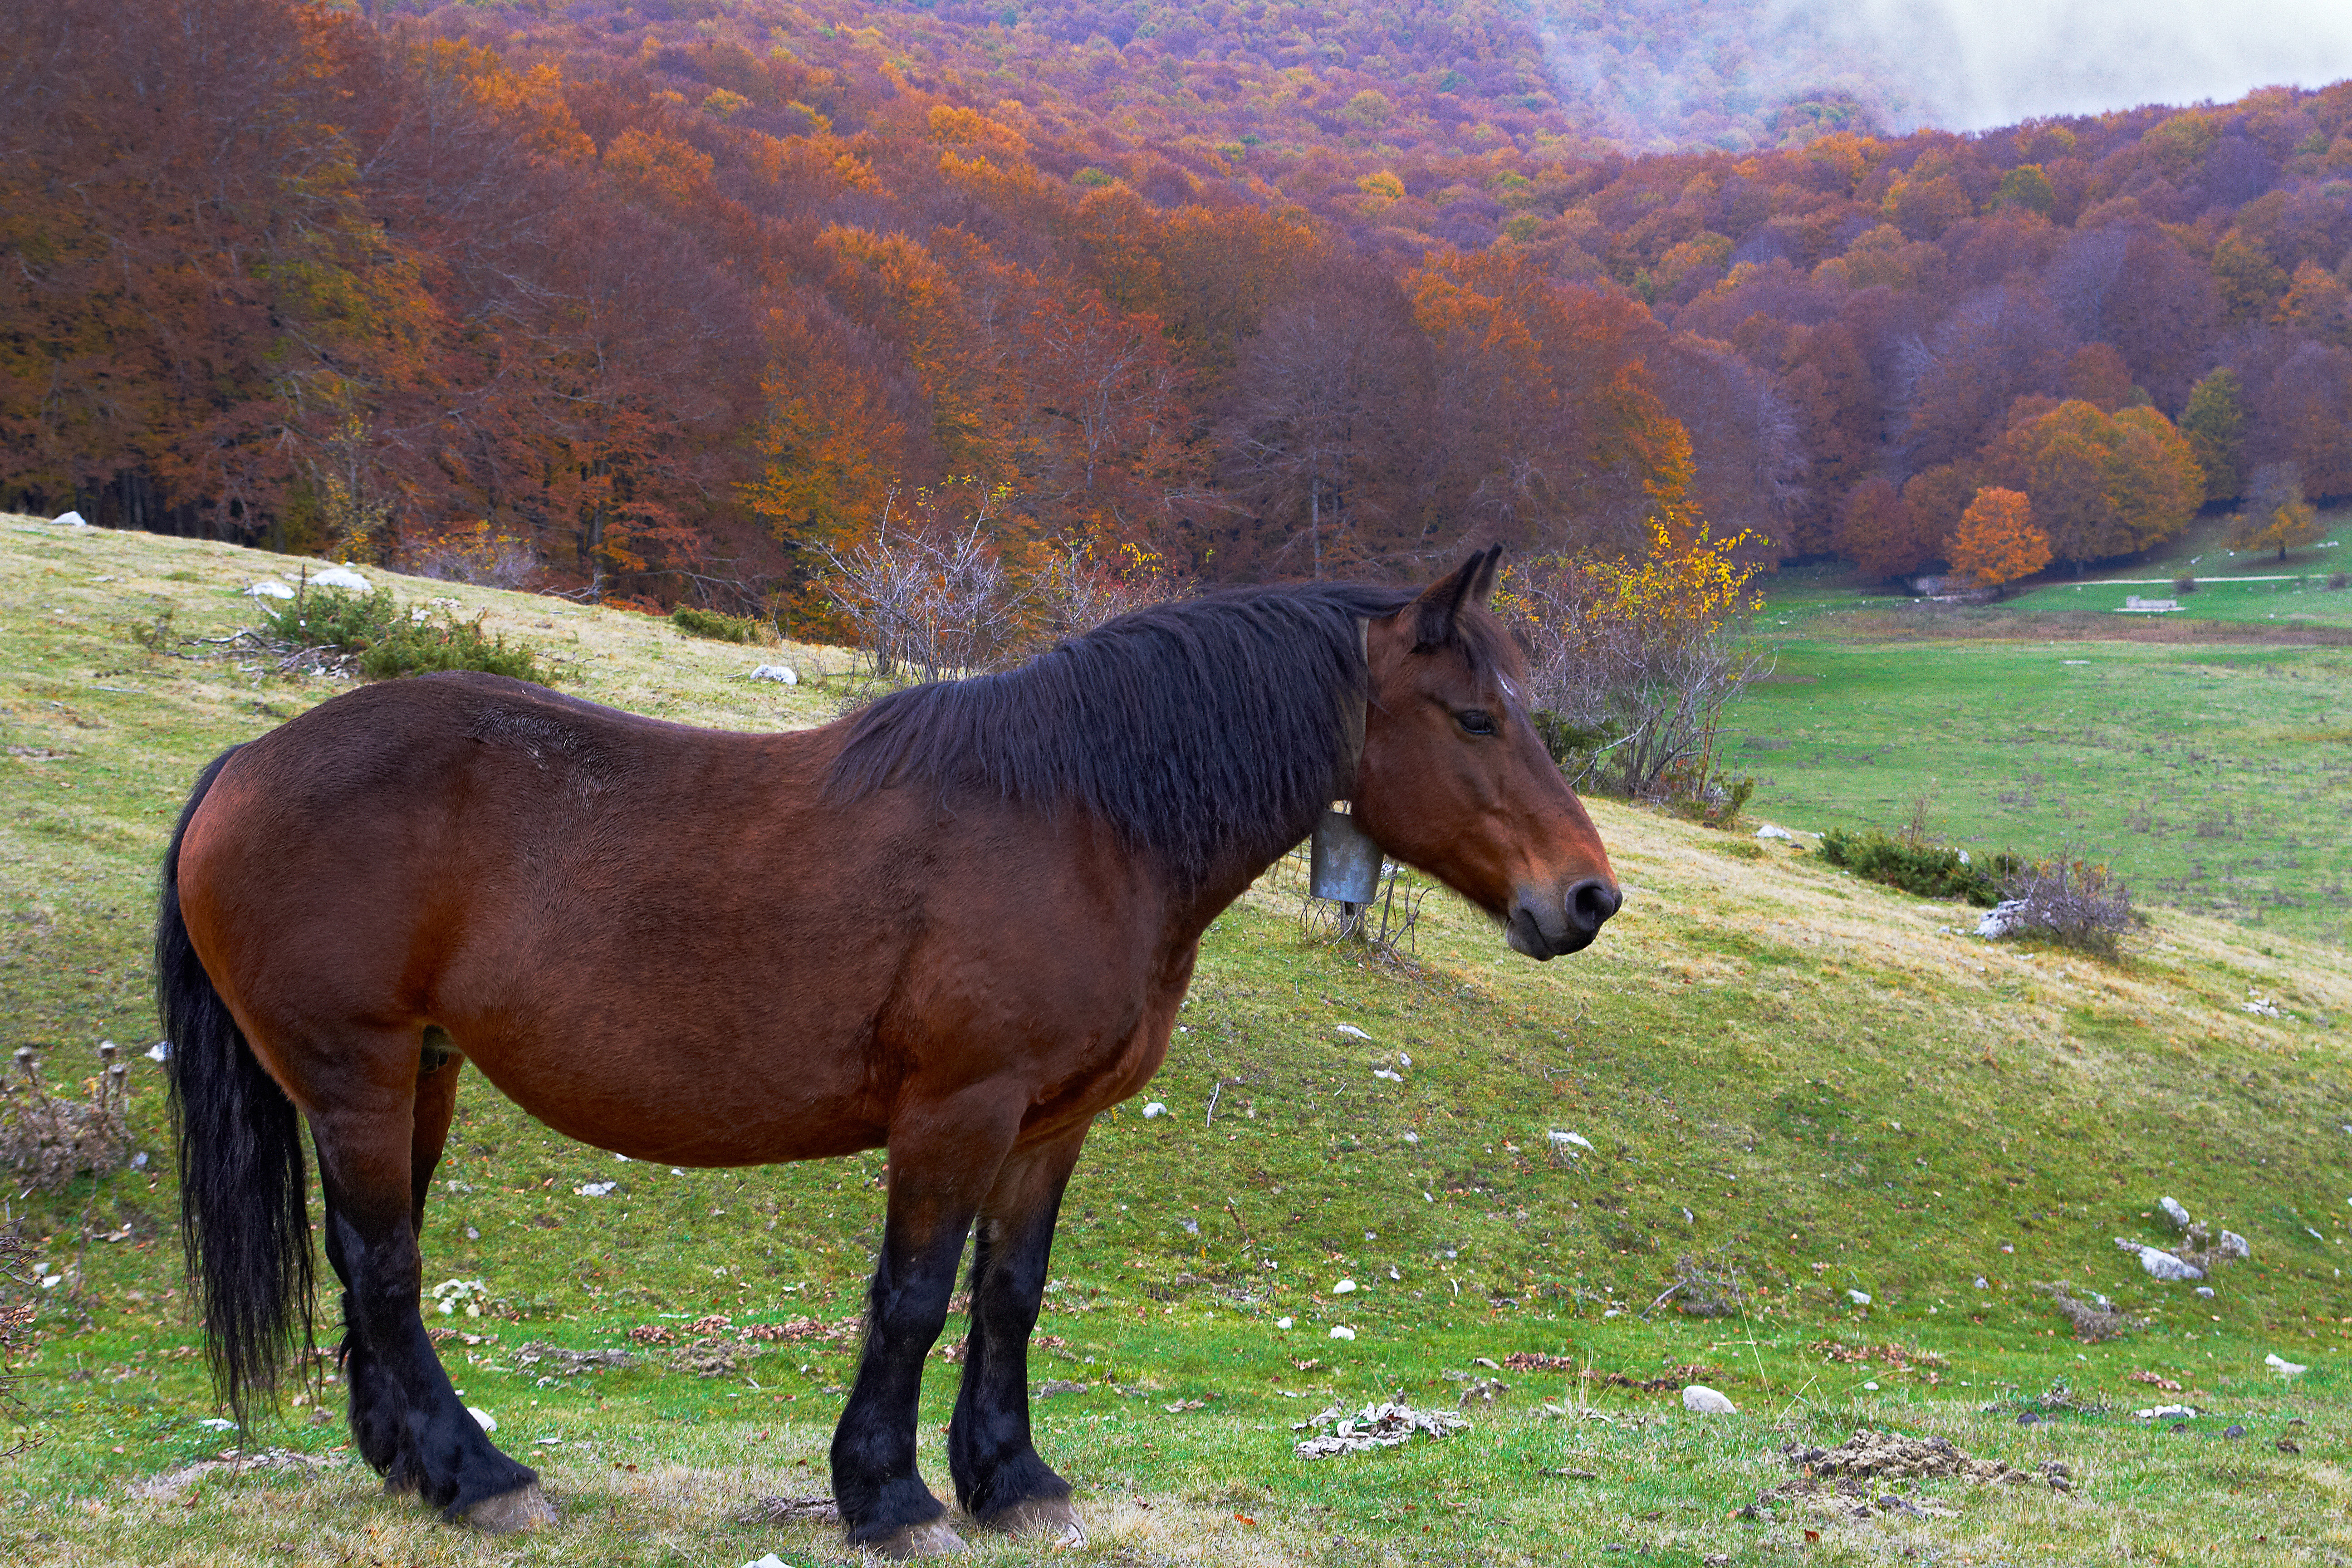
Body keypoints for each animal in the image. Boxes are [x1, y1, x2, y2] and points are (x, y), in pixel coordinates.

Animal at [155, 547, 1619, 1557]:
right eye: (1474, 718)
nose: (1587, 897)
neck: (1081, 820)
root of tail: (244, 762)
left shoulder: (1049, 1124)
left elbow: (1010, 1294)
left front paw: (1013, 1480)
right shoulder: (956, 1112)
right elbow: (912, 1297)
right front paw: (891, 1494)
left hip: (421, 1073)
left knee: (369, 1263)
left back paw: (411, 1466)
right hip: (356, 1072)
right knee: (385, 1264)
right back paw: (480, 1478)